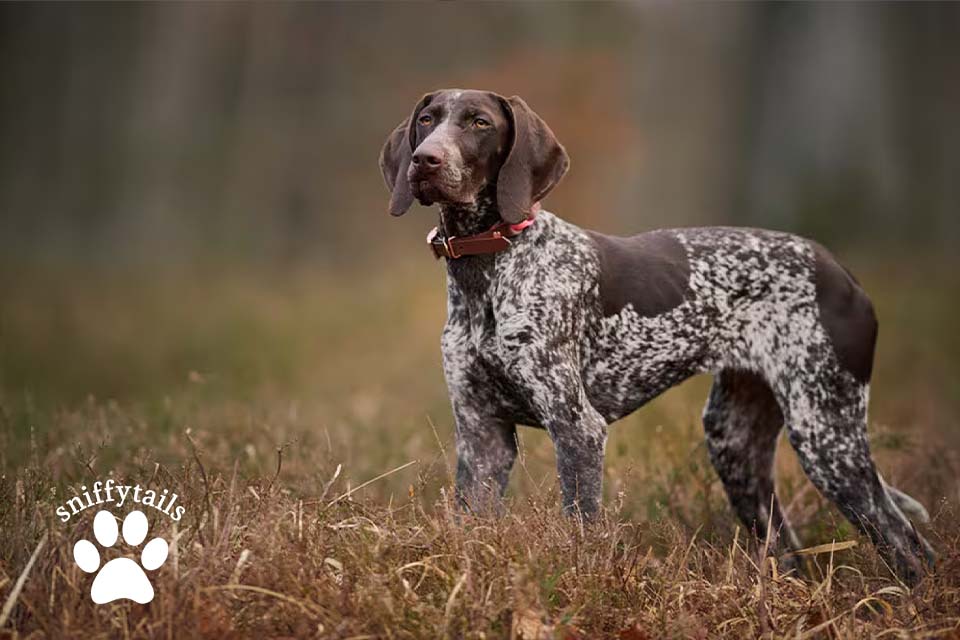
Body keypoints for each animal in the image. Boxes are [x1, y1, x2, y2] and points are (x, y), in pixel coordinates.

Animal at [378, 90, 932, 584]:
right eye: (427, 119)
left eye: (479, 123)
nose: (426, 161)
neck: (489, 269)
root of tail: (841, 271)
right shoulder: (482, 436)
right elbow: (469, 526)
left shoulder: (577, 429)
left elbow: (580, 530)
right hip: (736, 444)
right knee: (791, 551)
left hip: (826, 435)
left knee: (908, 545)